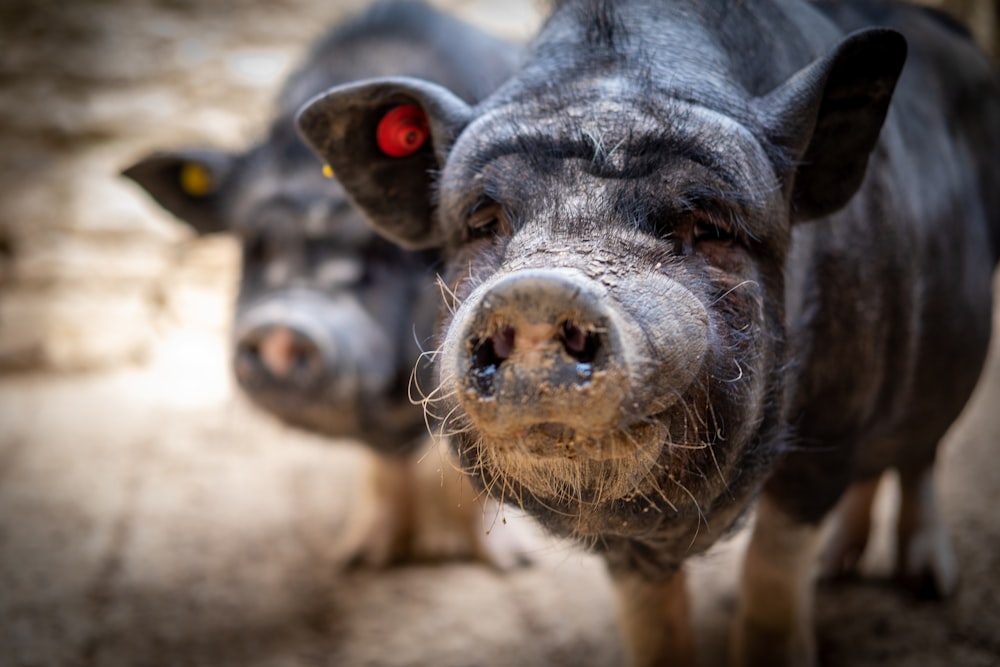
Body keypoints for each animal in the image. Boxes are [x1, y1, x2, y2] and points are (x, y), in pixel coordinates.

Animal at [296, 0, 1000, 664]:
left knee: (921, 452)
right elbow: (652, 624)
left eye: (710, 223)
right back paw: (839, 571)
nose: (535, 292)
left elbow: (772, 575)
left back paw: (925, 583)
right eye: (484, 220)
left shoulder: (835, 426)